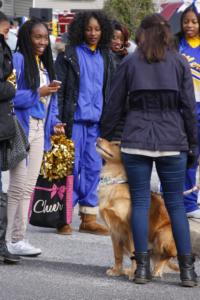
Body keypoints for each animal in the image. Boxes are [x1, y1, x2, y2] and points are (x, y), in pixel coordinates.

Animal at [96, 138, 178, 278]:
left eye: (116, 144)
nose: (98, 138)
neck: (115, 180)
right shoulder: (114, 230)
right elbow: (117, 254)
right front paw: (116, 271)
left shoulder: (131, 228)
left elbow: (135, 251)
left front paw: (134, 273)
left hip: (163, 234)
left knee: (166, 256)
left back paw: (157, 270)